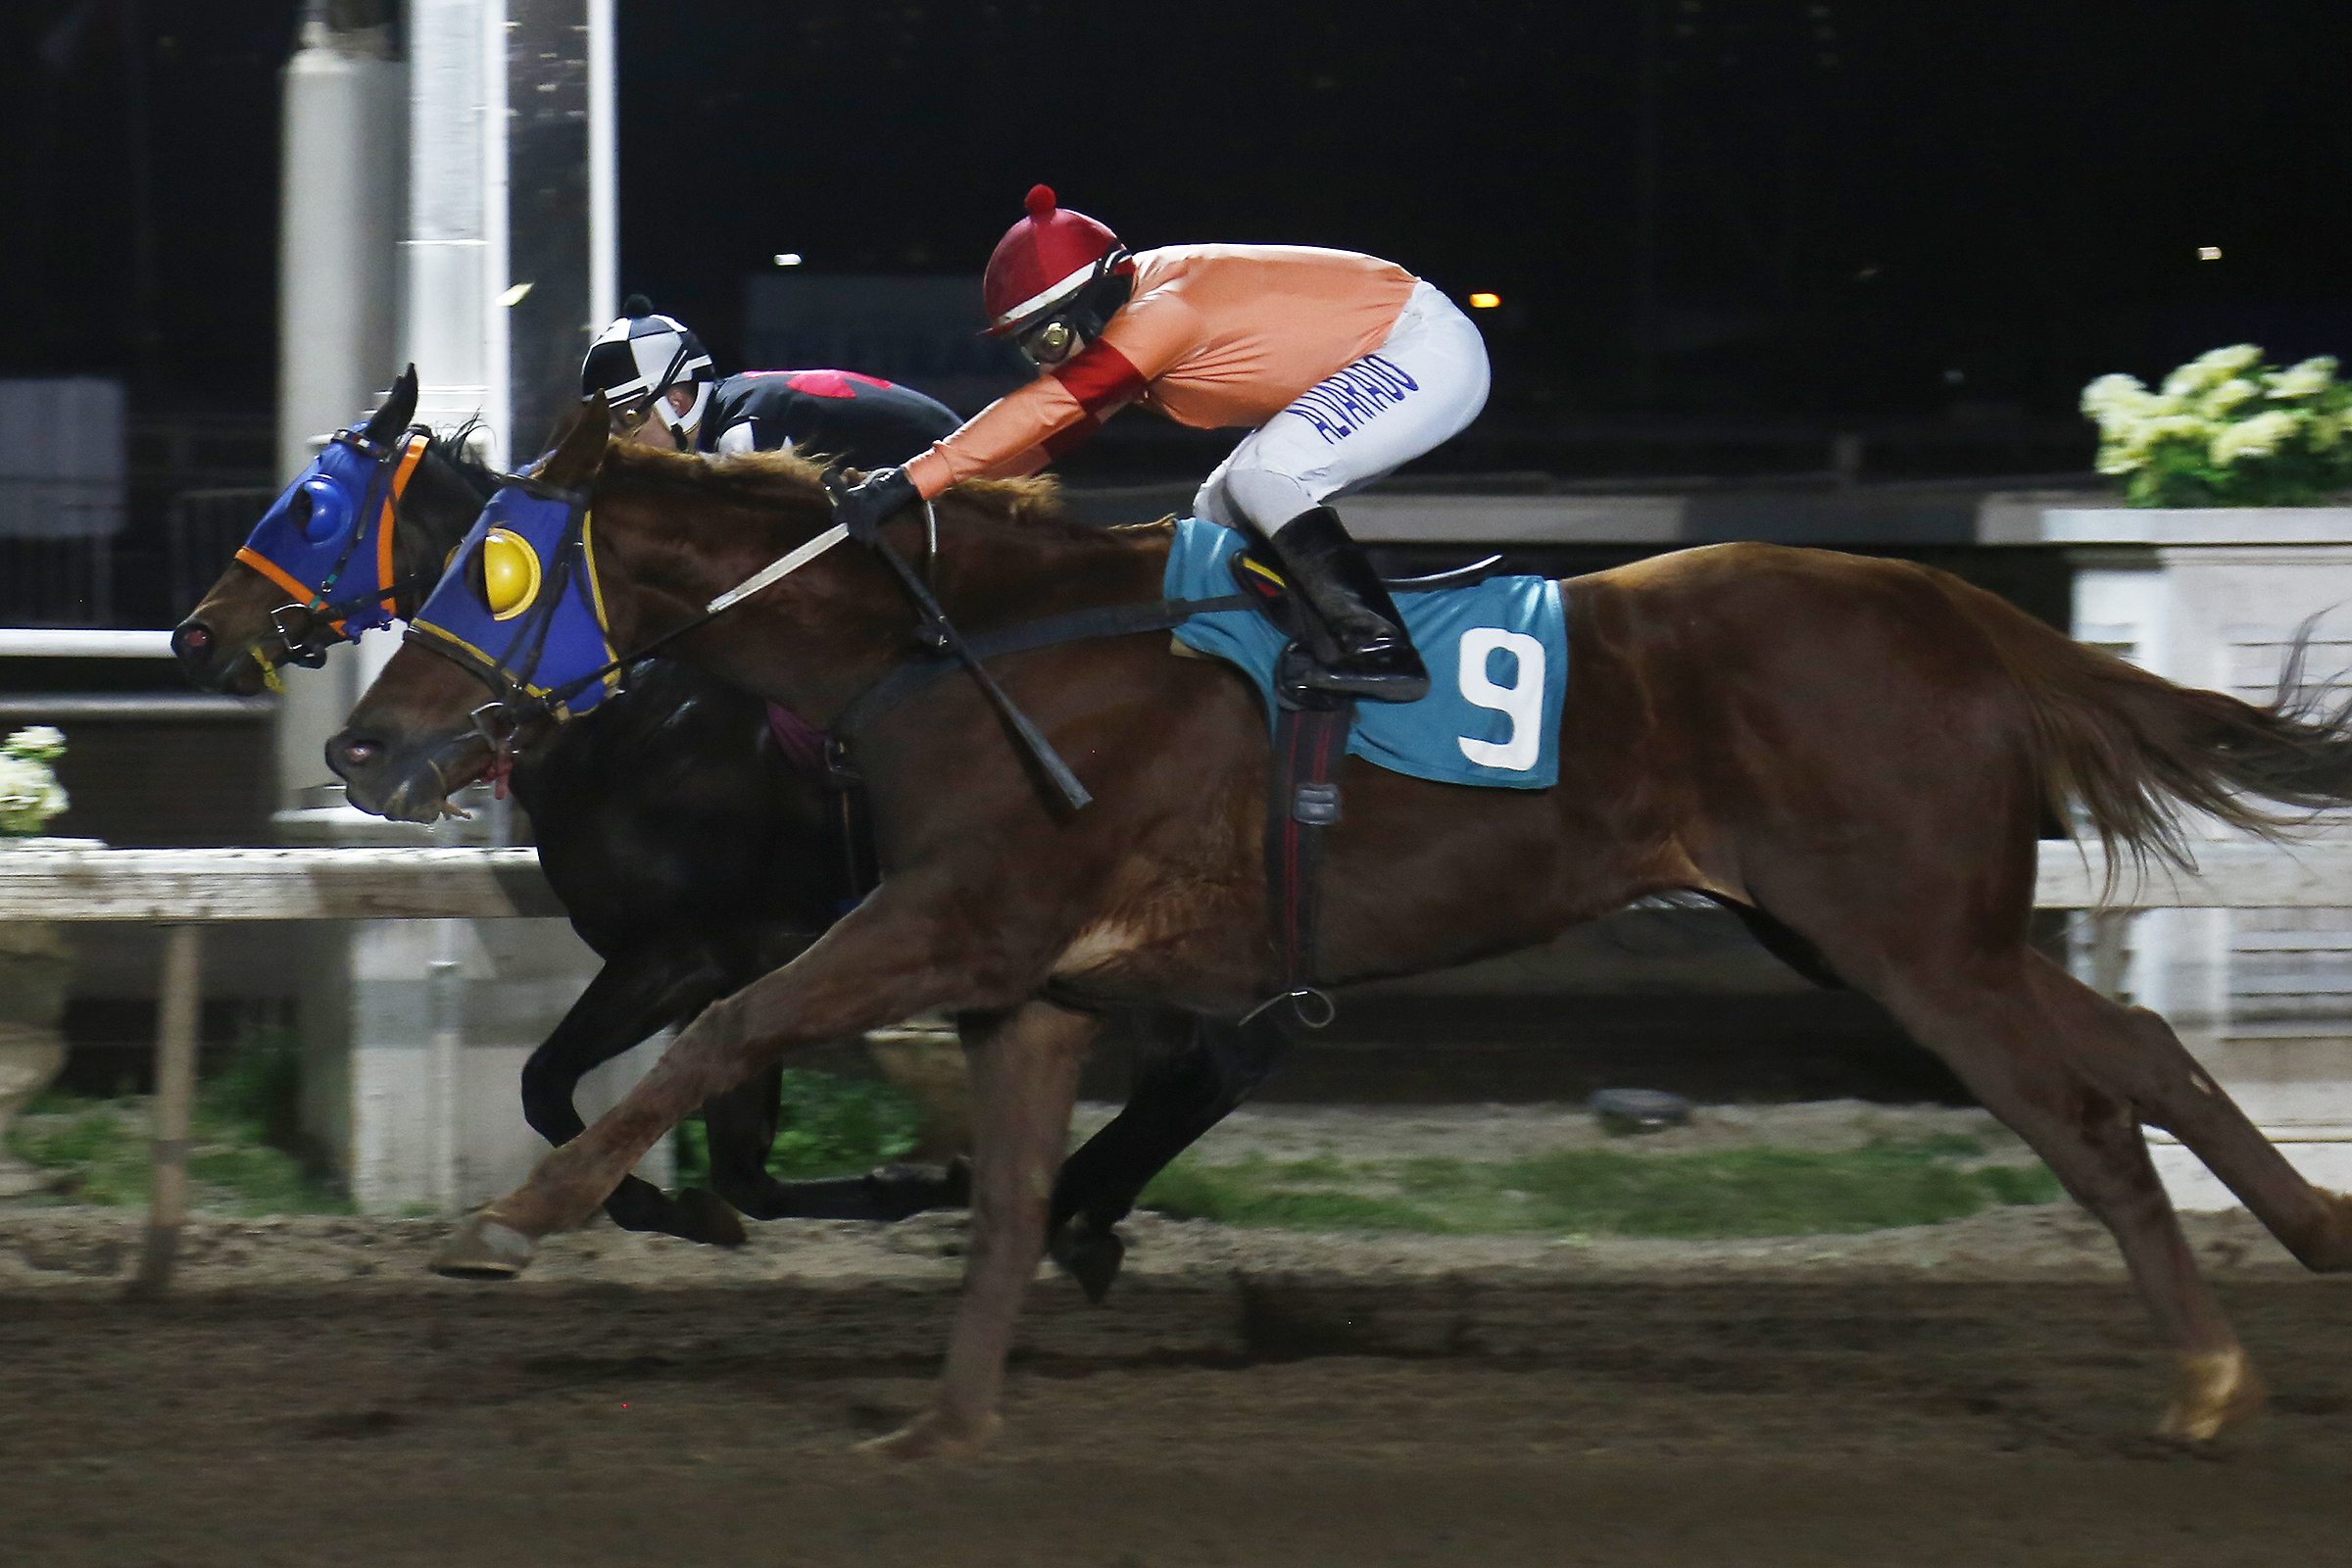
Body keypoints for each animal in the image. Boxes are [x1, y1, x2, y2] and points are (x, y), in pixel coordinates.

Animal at [170, 369, 960, 1242]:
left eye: (312, 510)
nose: (194, 636)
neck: (637, 710)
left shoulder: (682, 952)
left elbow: (546, 1083)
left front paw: (636, 1197)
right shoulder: (737, 967)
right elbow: (747, 1177)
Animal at [326, 405, 2352, 1459]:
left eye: (487, 575)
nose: (359, 747)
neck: (965, 651)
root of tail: (1965, 619)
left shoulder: (954, 919)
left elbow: (729, 1030)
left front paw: (511, 1225)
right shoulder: (1030, 980)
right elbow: (1004, 1205)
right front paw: (950, 1427)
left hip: (1910, 940)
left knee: (2084, 1121)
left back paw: (2202, 1381)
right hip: (1887, 932)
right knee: (2144, 1054)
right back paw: (2318, 1242)